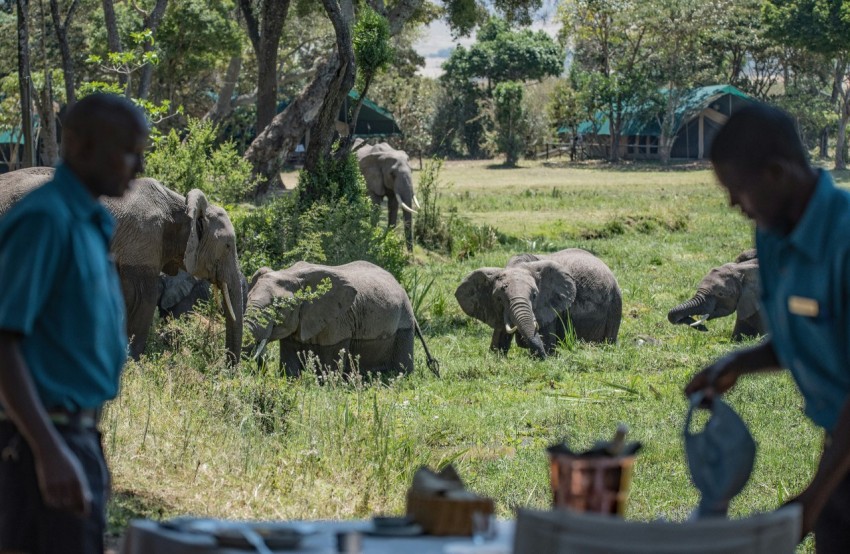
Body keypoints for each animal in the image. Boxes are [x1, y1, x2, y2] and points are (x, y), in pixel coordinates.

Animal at [0, 167, 244, 362]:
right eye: (228, 246)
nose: (227, 368)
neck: (180, 205)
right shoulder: (143, 241)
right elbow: (143, 299)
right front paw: (132, 363)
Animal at [245, 261, 438, 377]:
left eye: (278, 308)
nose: (260, 370)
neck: (290, 274)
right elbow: (289, 359)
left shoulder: (338, 319)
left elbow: (331, 358)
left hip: (404, 321)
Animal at [455, 248, 622, 359]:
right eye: (499, 298)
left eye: (534, 296)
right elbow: (499, 337)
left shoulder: (549, 307)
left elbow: (547, 339)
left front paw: (545, 356)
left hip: (615, 303)